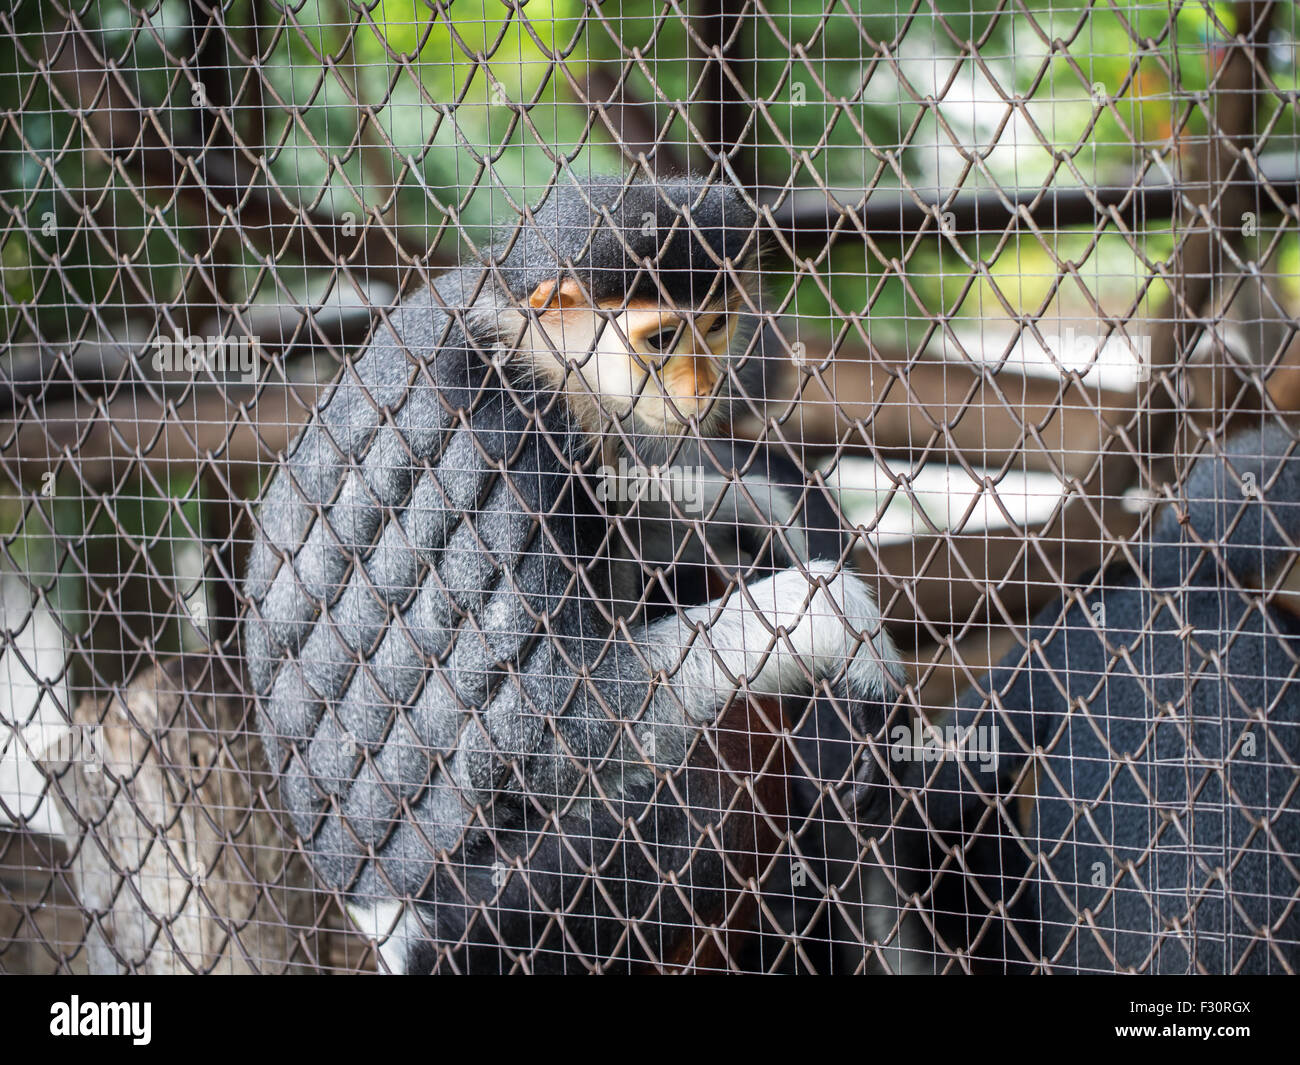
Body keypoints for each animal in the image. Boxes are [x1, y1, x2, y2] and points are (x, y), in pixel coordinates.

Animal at [244, 176, 904, 972]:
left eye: (713, 325)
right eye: (661, 340)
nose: (702, 386)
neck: (519, 347)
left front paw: (755, 497)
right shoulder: (496, 434)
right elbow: (528, 730)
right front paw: (835, 619)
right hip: (500, 920)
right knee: (712, 776)